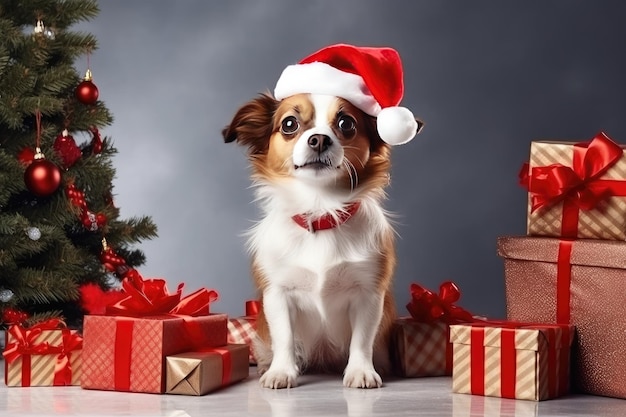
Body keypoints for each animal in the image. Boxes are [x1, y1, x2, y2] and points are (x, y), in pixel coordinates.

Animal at [219, 44, 420, 388]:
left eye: (346, 124)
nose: (319, 139)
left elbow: (362, 339)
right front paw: (282, 372)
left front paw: (360, 371)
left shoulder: (368, 293)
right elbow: (284, 337)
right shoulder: (277, 293)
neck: (321, 211)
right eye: (289, 124)